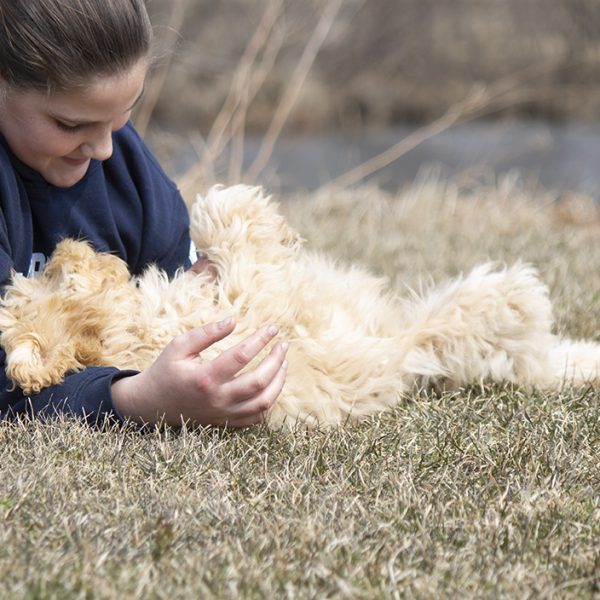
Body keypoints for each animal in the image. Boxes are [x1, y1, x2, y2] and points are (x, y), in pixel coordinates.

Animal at [1, 186, 600, 426]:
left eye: (47, 271)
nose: (65, 243)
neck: (130, 329)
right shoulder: (245, 306)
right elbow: (228, 222)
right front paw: (254, 211)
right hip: (469, 314)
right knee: (524, 333)